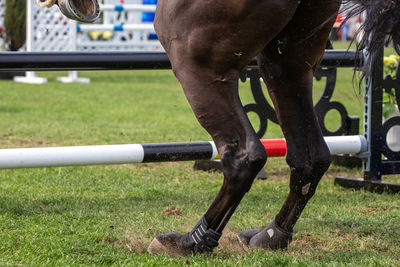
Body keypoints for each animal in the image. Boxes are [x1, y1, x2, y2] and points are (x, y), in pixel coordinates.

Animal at [38, 0, 400, 258]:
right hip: (288, 61)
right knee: (310, 157)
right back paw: (270, 236)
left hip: (195, 58)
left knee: (244, 156)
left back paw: (192, 242)